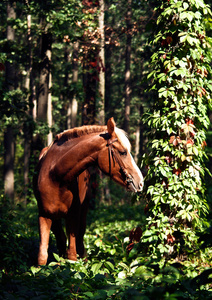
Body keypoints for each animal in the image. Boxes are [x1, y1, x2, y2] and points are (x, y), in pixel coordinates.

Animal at [33, 118, 143, 264]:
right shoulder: (44, 215)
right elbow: (42, 255)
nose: (140, 182)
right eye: (123, 152)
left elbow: (72, 255)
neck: (55, 177)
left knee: (79, 241)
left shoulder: (73, 215)